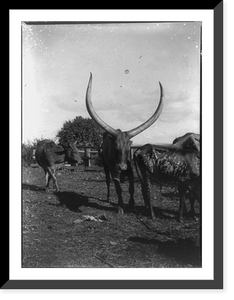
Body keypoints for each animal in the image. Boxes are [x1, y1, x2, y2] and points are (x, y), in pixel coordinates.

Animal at [85, 72, 165, 213]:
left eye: (129, 149)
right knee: (107, 181)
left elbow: (131, 187)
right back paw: (108, 198)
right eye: (115, 147)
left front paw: (132, 204)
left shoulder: (130, 171)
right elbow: (118, 188)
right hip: (105, 166)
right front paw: (121, 207)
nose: (122, 167)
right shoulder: (114, 171)